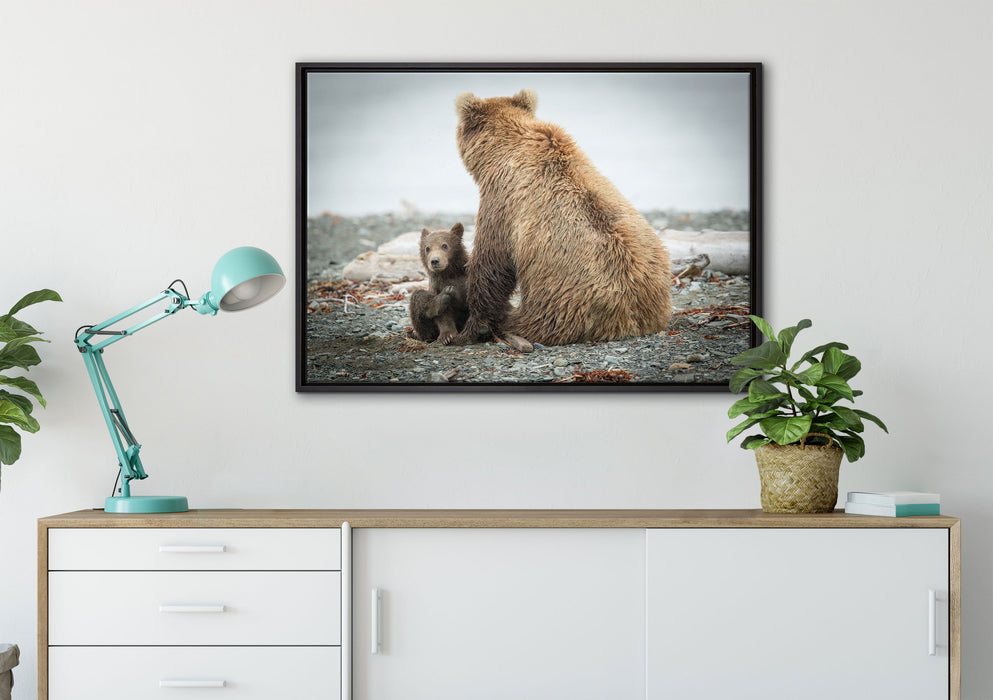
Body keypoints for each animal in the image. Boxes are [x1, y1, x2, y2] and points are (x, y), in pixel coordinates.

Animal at [450, 89, 672, 350]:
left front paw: (468, 329)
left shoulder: (502, 201)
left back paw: (507, 324)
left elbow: (491, 263)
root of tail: (631, 320)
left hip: (561, 303)